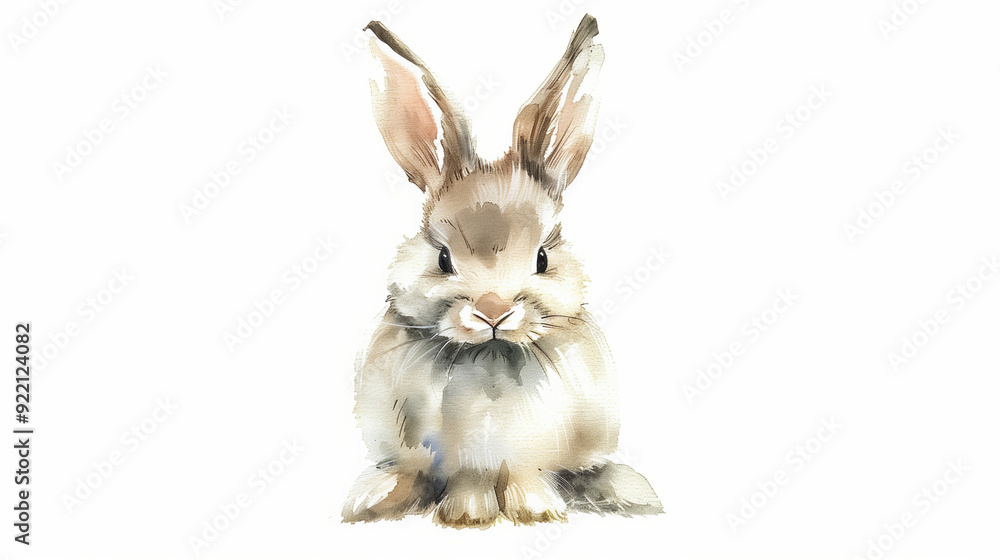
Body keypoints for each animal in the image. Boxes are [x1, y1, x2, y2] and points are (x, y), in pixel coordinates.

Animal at [342, 14, 662, 528]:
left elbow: (522, 472)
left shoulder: (529, 450)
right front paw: (468, 514)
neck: (488, 355)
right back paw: (374, 496)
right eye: (443, 258)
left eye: (542, 258)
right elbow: (463, 478)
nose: (493, 310)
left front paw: (534, 509)